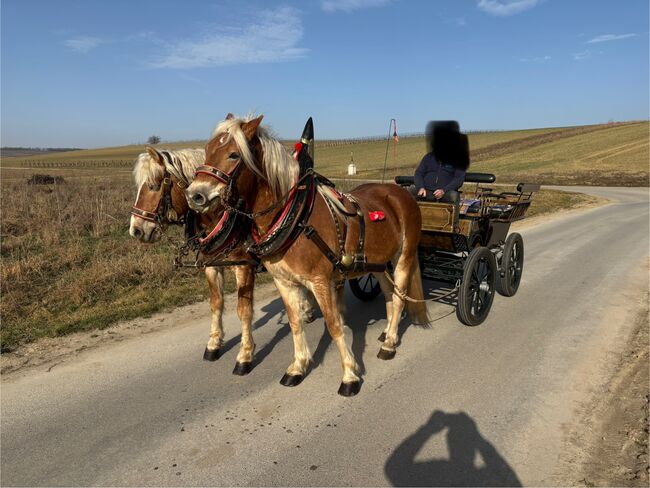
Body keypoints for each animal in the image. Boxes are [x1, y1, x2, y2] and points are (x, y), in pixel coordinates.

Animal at [130, 145, 278, 374]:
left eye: (153, 186)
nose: (135, 230)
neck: (220, 217)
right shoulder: (211, 266)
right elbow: (216, 304)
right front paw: (214, 344)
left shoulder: (244, 267)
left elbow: (244, 311)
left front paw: (245, 355)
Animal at [184, 115, 426, 396]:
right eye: (207, 150)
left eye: (234, 154)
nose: (195, 195)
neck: (294, 215)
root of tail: (399, 192)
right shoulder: (284, 282)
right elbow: (294, 322)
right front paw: (298, 367)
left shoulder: (319, 281)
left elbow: (334, 324)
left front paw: (349, 375)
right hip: (376, 264)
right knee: (389, 293)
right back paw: (388, 333)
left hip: (403, 257)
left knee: (399, 298)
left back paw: (389, 344)